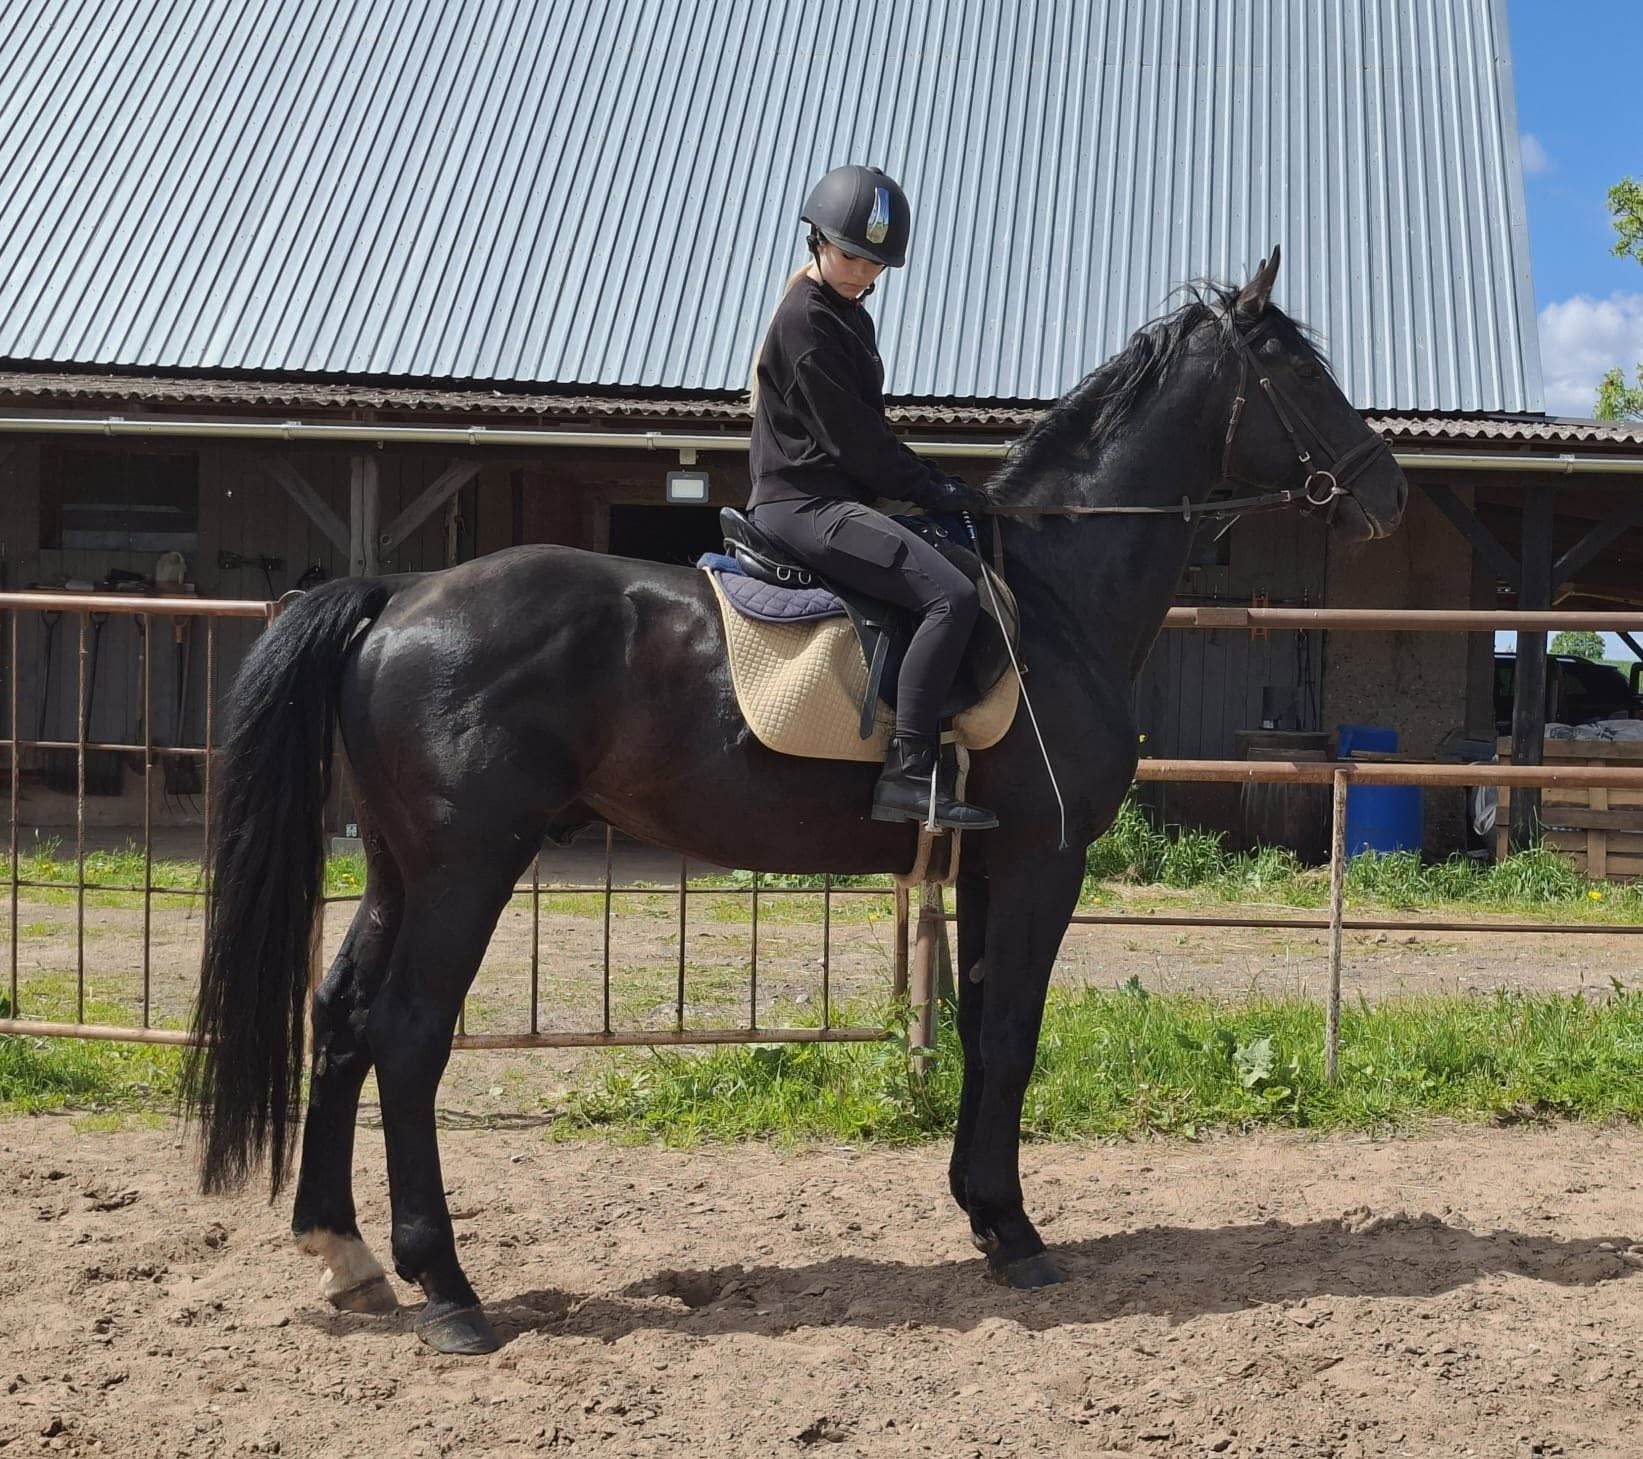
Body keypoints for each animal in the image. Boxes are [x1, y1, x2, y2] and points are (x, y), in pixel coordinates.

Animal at [182, 248, 1407, 1354]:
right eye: (1294, 369)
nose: (1385, 489)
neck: (1055, 600)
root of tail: (400, 594)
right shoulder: (1039, 861)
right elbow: (1012, 1033)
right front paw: (1017, 1236)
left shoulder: (986, 865)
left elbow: (979, 1033)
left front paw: (985, 1217)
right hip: (466, 869)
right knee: (406, 1031)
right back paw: (447, 1290)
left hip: (401, 867)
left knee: (340, 1015)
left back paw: (344, 1254)